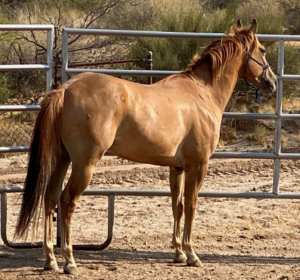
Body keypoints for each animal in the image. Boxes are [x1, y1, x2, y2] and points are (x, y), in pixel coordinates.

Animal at [14, 18, 276, 274]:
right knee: (67, 201)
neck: (202, 93)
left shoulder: (177, 168)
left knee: (49, 198)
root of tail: (65, 90)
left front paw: (179, 253)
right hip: (84, 163)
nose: (272, 82)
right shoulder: (198, 165)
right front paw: (191, 254)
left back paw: (51, 259)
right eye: (262, 50)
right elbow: (191, 205)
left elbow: (178, 205)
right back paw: (69, 260)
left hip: (63, 158)